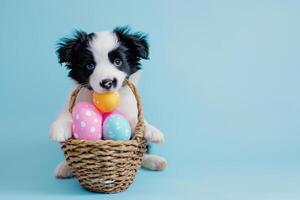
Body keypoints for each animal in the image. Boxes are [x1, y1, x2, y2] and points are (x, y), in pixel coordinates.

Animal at [49, 27, 166, 178]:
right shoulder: (75, 101)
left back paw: (155, 161)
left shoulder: (129, 110)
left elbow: (137, 121)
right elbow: (66, 115)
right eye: (90, 65)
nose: (107, 82)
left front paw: (152, 130)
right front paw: (59, 128)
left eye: (117, 61)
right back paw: (64, 167)